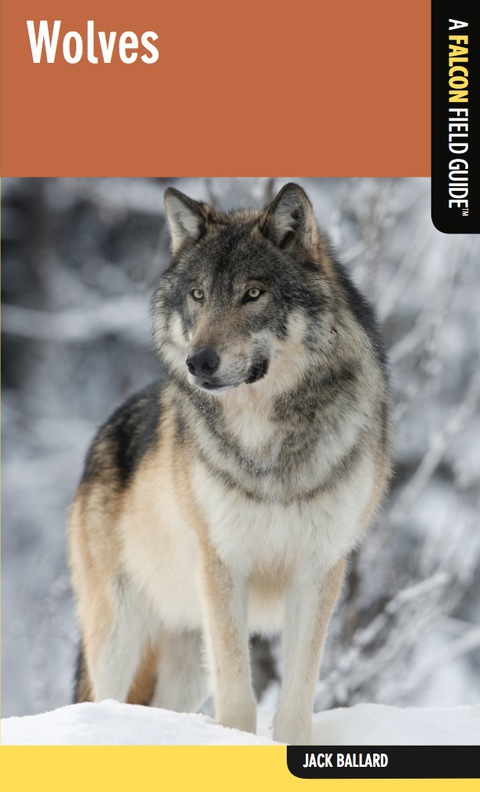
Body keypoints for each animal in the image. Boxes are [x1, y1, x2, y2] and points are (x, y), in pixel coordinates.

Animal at [69, 182, 392, 744]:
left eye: (253, 294)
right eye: (199, 295)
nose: (199, 362)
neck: (269, 443)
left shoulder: (319, 570)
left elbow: (297, 698)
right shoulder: (224, 565)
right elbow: (239, 696)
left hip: (183, 658)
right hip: (119, 633)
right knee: (103, 697)